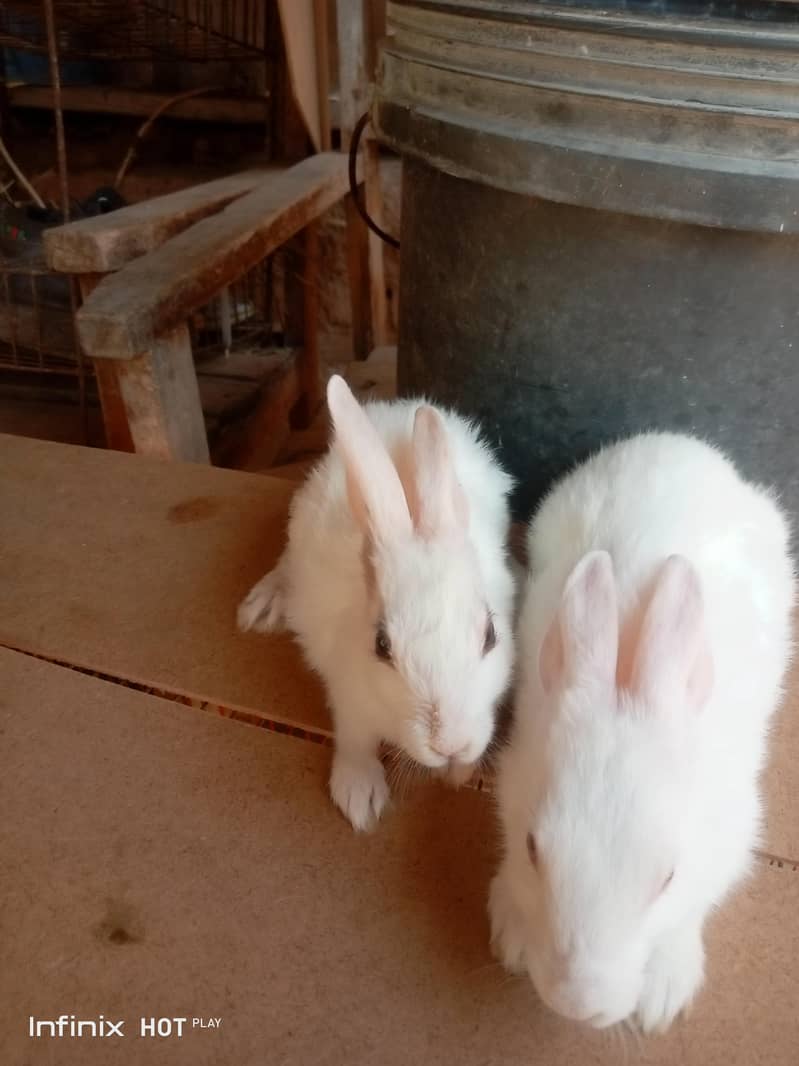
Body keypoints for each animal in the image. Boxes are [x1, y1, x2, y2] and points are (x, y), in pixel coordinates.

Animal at [238, 375, 515, 831]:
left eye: (491, 635)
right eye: (381, 646)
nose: (451, 743)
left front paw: (459, 773)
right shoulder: (349, 696)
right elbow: (355, 741)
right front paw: (359, 796)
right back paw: (263, 605)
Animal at [488, 432, 794, 1034]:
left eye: (668, 878)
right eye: (533, 849)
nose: (577, 1003)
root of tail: (681, 444)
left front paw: (662, 997)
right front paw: (511, 931)